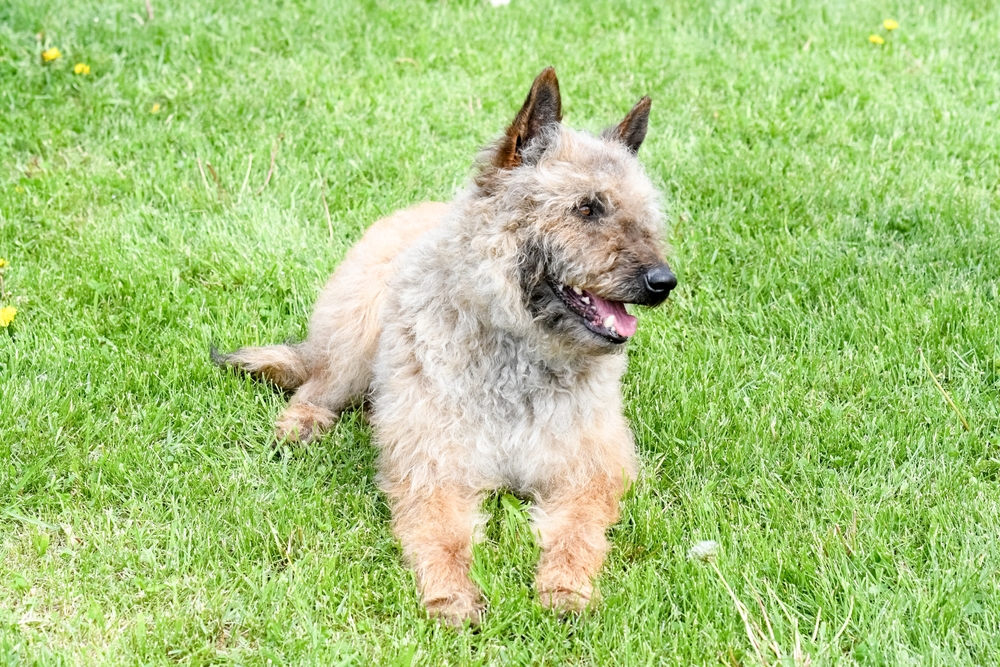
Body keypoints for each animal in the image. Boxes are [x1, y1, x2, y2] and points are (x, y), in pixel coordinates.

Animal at [215, 68, 676, 628]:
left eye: (645, 213)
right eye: (586, 207)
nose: (663, 282)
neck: (516, 355)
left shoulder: (591, 472)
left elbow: (577, 532)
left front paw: (565, 587)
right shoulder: (432, 470)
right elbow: (442, 536)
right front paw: (450, 594)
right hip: (355, 338)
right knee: (315, 385)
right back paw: (303, 423)